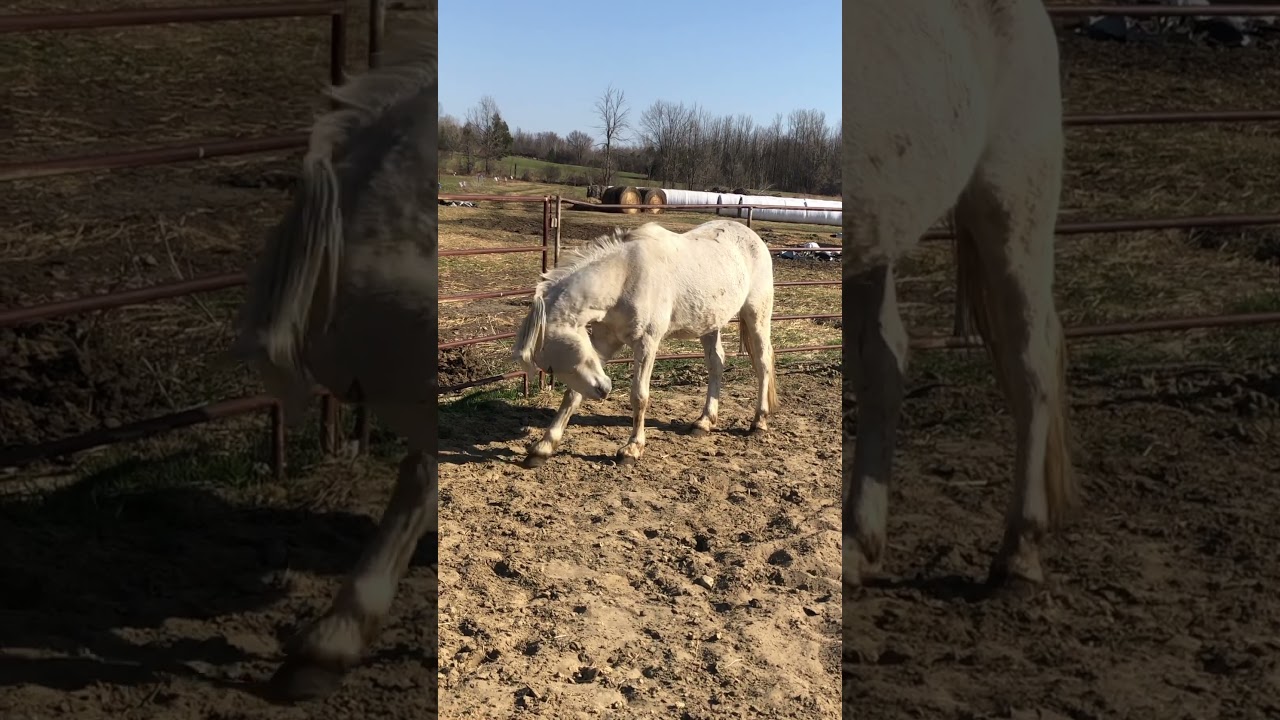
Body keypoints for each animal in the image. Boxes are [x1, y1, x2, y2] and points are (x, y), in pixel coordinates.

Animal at [511, 219, 779, 467]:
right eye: (550, 368)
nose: (604, 390)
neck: (625, 276)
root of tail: (751, 235)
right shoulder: (603, 342)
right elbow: (572, 396)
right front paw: (544, 447)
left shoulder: (647, 342)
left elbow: (639, 395)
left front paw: (631, 450)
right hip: (709, 323)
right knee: (716, 364)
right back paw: (704, 422)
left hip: (756, 313)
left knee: (763, 361)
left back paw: (759, 421)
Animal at [844, 0, 1079, 590]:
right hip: (875, 229)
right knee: (884, 365)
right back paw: (858, 541)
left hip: (1011, 203)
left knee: (1031, 360)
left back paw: (1020, 547)